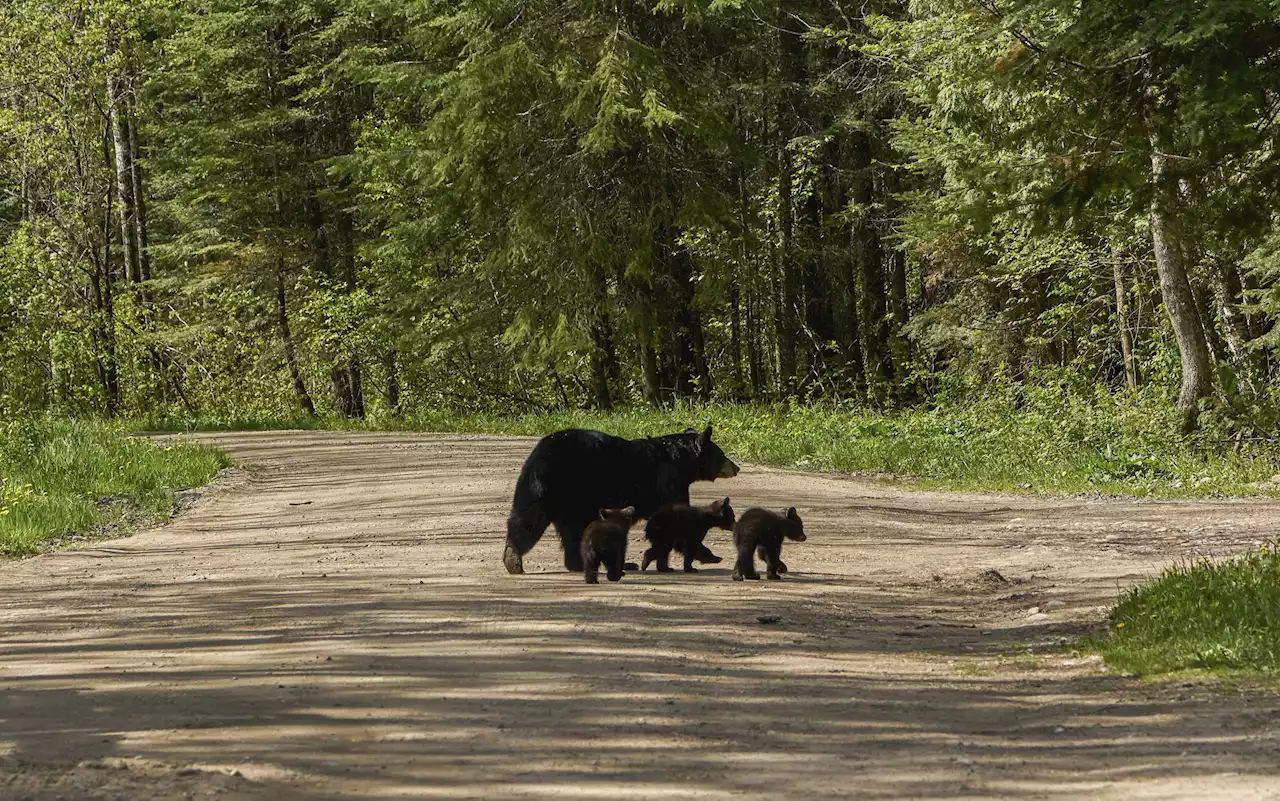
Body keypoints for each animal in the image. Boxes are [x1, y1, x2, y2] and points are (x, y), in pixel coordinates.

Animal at [501, 424, 742, 573]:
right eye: (722, 454)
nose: (737, 467)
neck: (681, 463)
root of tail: (541, 457)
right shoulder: (669, 482)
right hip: (576, 491)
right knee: (571, 527)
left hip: (537, 490)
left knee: (528, 518)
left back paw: (515, 557)